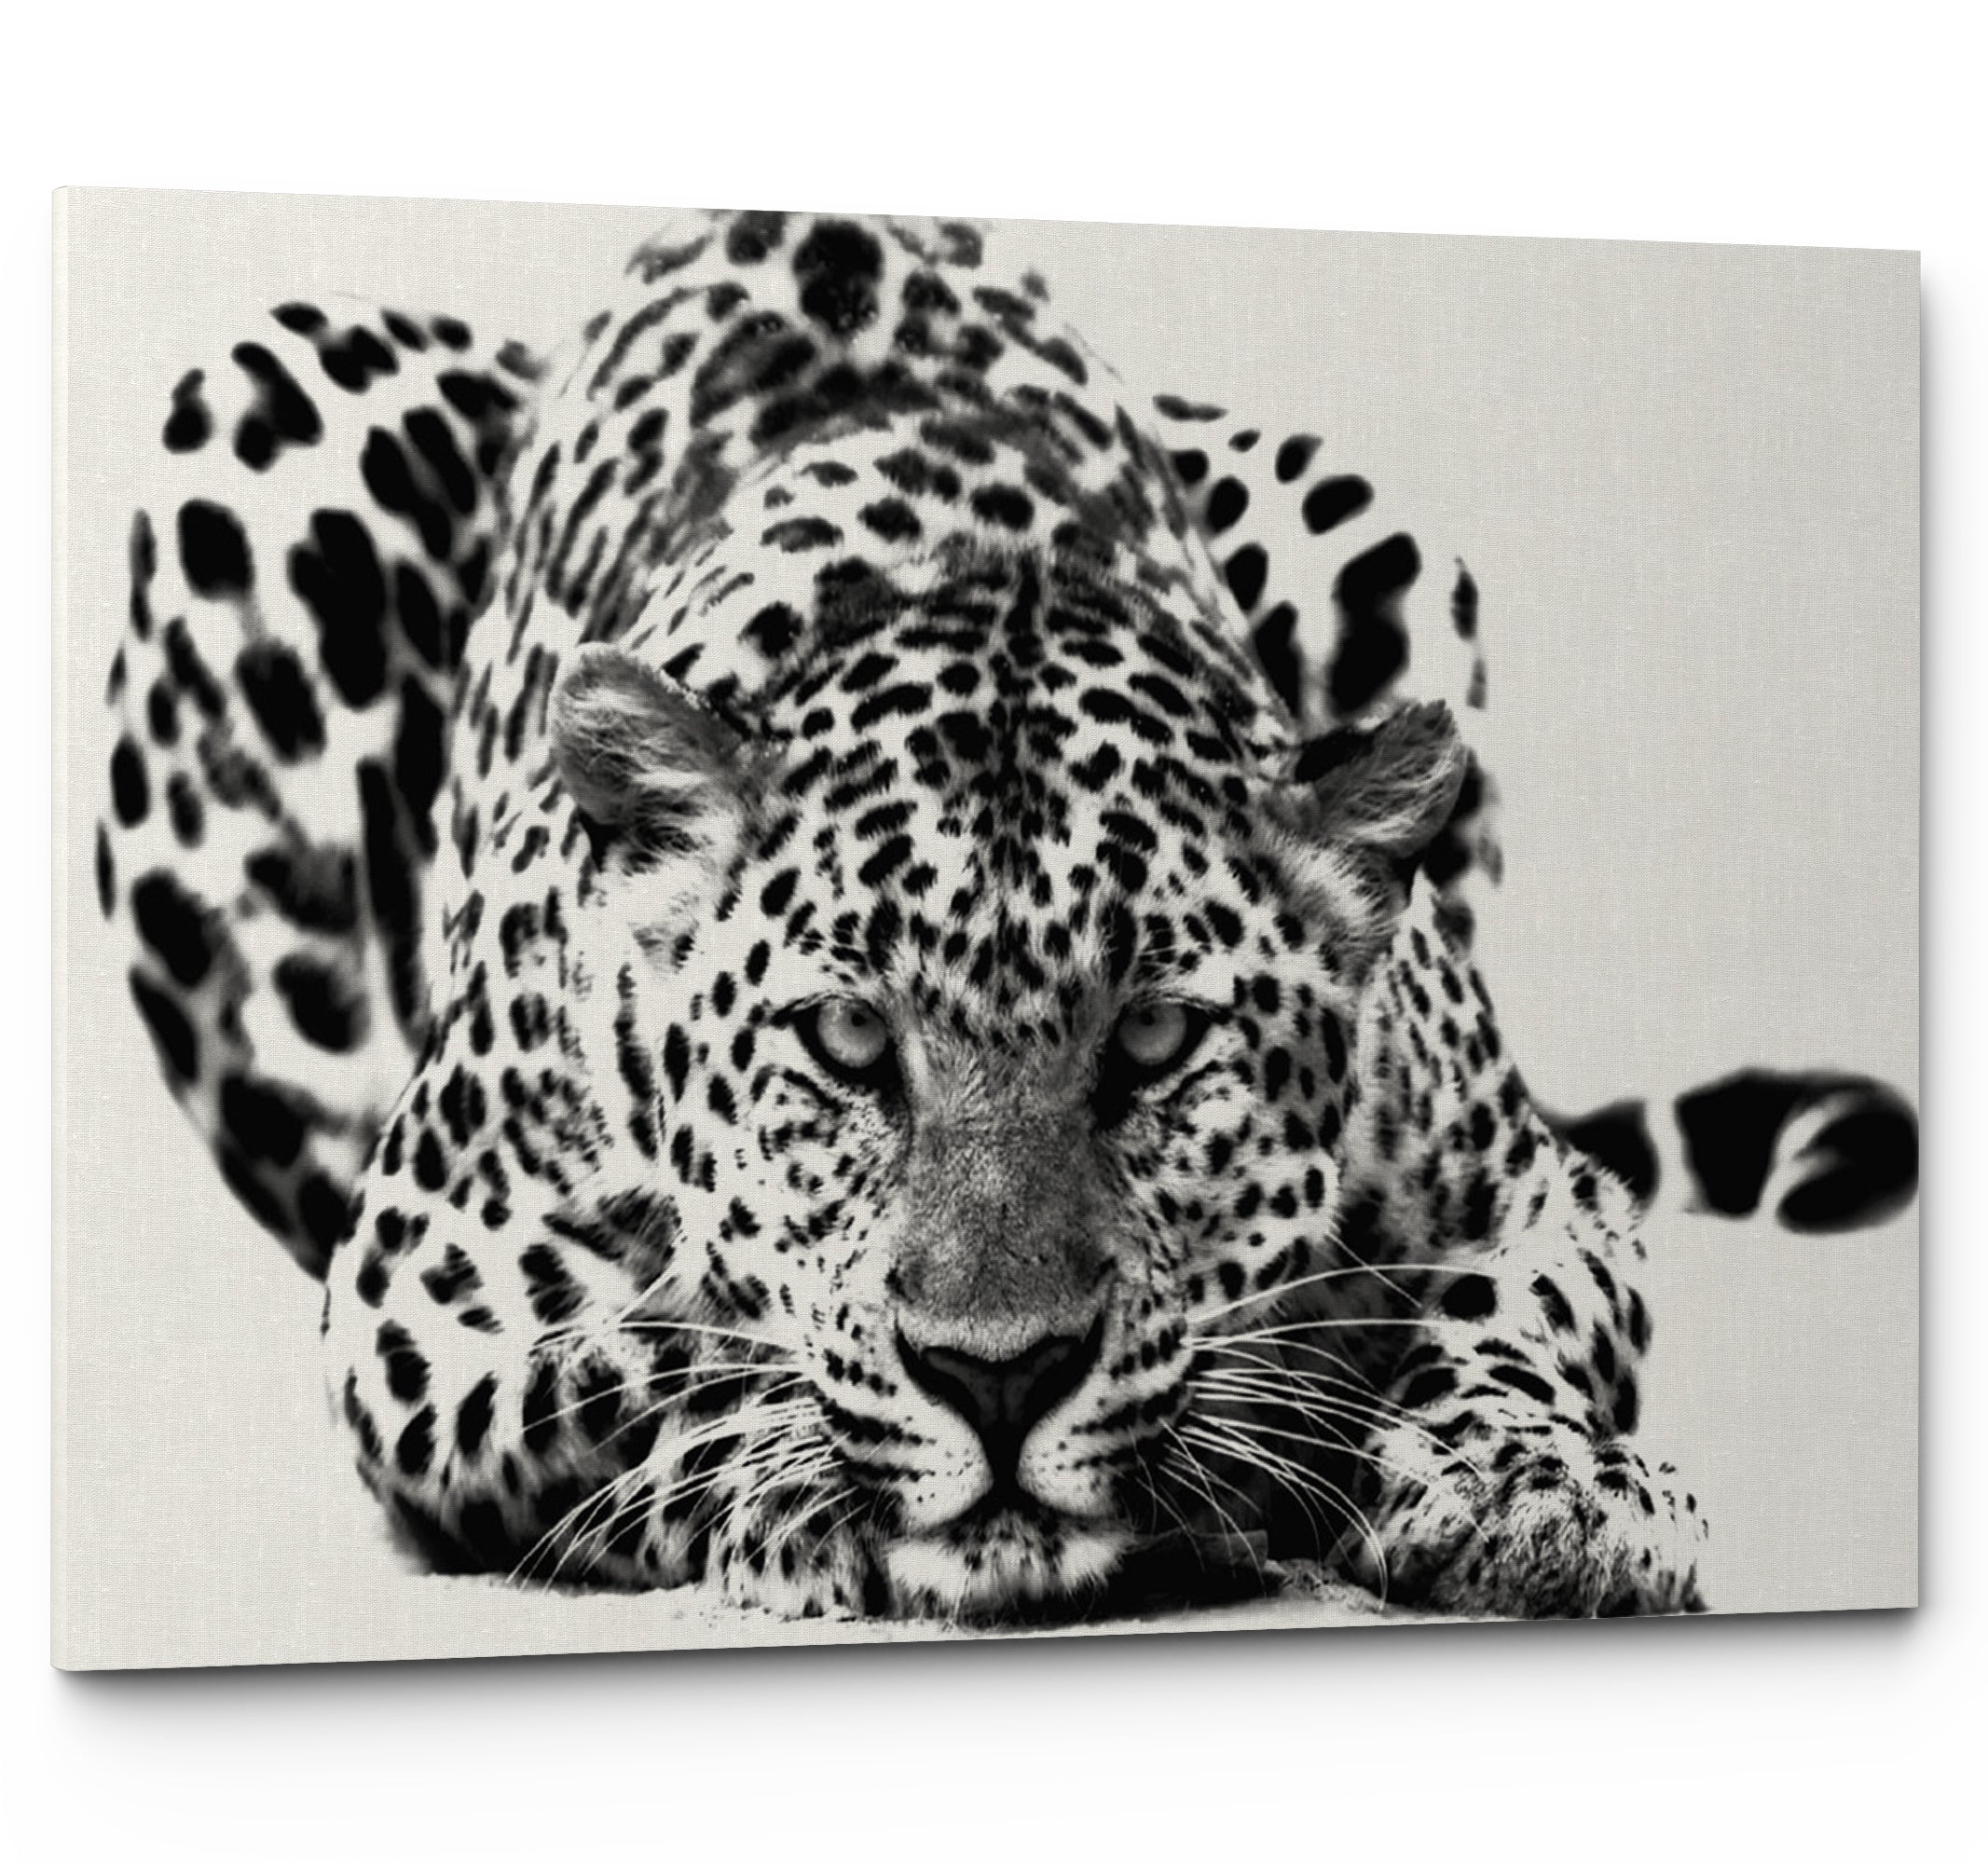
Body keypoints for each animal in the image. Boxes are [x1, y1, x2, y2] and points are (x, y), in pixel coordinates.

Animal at [96, 208, 1919, 1623]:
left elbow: (1498, 1320)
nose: (996, 1377)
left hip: (1368, 520)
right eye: (846, 1040)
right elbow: (644, 1355)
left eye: (1157, 1039)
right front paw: (798, 1472)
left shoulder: (1536, 1195)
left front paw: (1541, 1492)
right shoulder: (418, 1297)